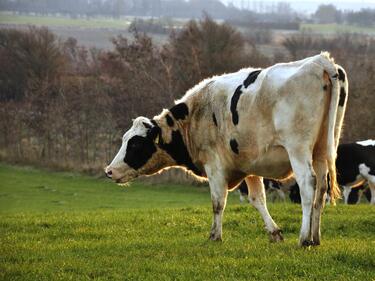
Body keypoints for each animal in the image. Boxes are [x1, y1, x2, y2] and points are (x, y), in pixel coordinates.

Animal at [104, 52, 348, 245]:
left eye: (135, 143)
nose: (109, 171)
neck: (194, 116)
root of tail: (319, 60)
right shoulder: (249, 164)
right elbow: (257, 199)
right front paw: (275, 233)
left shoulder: (214, 165)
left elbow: (218, 202)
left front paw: (215, 236)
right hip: (322, 150)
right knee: (321, 190)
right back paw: (315, 238)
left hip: (298, 149)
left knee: (308, 185)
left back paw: (304, 238)